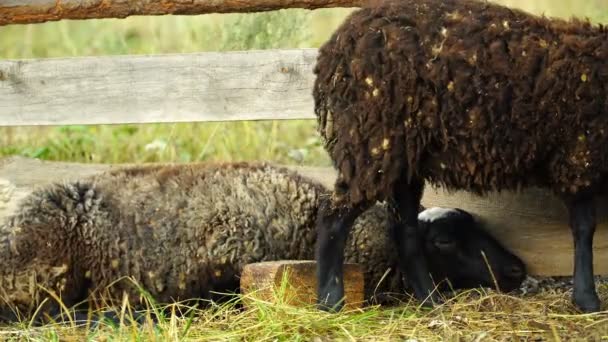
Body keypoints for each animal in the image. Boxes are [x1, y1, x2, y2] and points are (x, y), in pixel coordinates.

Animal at [312, 0, 608, 312]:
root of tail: (333, 49)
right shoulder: (579, 158)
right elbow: (584, 229)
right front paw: (587, 299)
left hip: (404, 159)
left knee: (405, 230)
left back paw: (430, 300)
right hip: (371, 146)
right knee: (333, 216)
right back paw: (331, 301)